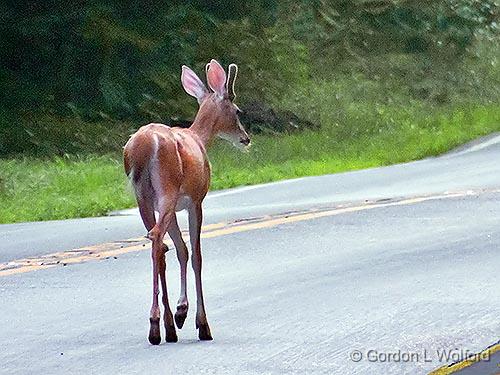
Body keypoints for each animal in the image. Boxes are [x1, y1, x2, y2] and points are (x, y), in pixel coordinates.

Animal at [123, 59, 252, 346]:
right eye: (238, 110)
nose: (246, 138)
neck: (200, 139)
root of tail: (143, 146)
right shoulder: (196, 200)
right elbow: (196, 255)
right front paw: (201, 323)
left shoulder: (171, 207)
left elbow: (181, 250)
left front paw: (181, 312)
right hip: (168, 189)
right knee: (158, 238)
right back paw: (156, 325)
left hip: (145, 198)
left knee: (158, 243)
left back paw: (167, 325)